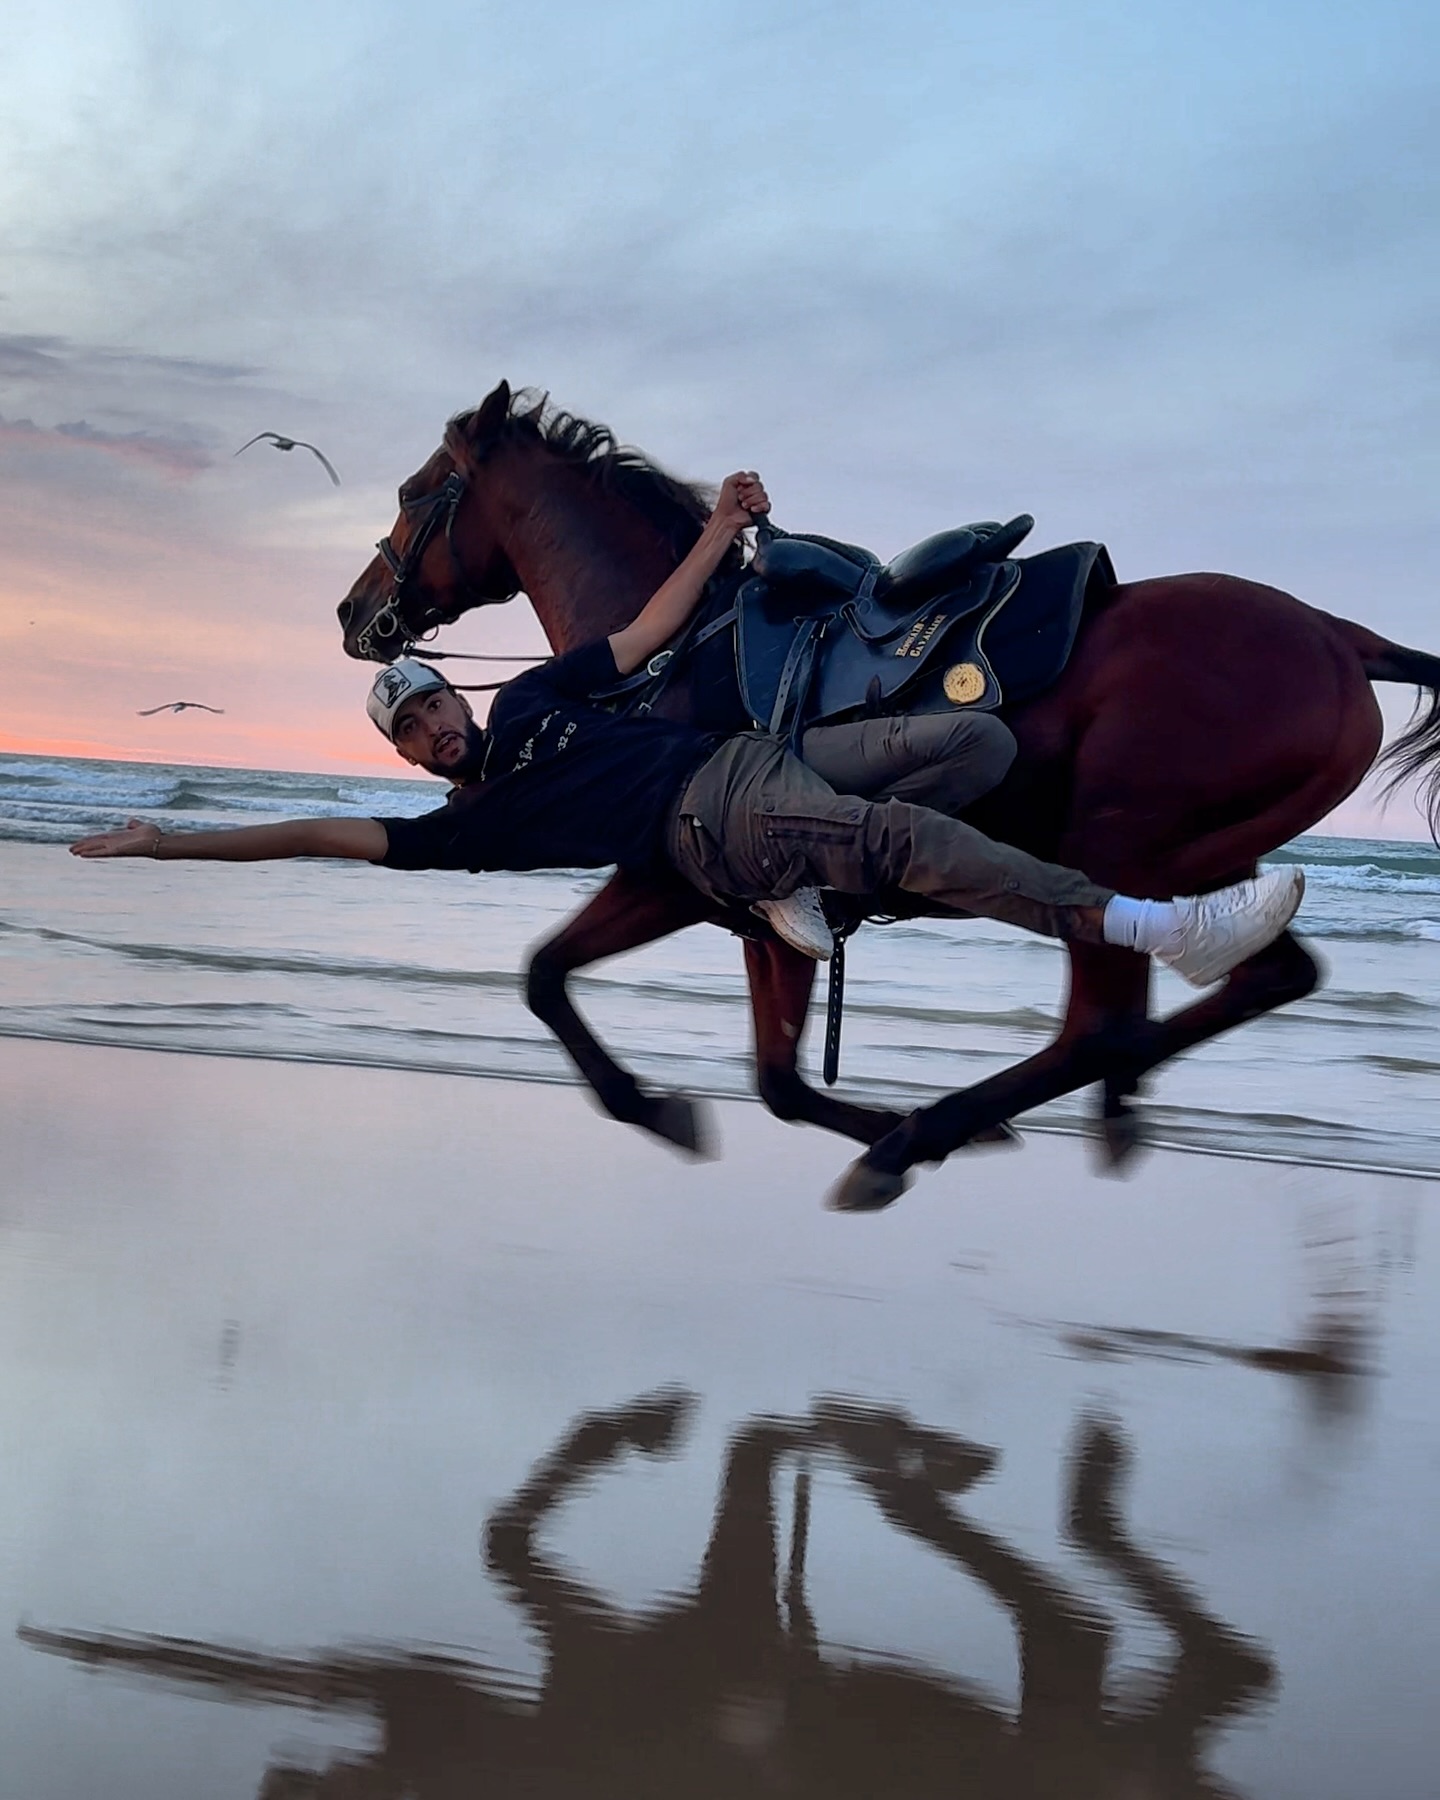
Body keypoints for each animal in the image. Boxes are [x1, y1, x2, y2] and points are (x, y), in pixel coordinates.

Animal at [338, 381, 1440, 1210]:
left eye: (415, 490)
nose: (356, 611)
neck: (673, 648)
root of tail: (1340, 638)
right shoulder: (753, 915)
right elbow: (777, 1080)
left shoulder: (666, 874)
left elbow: (546, 979)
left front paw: (658, 1107)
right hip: (1203, 859)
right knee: (1260, 975)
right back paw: (1074, 1111)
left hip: (1118, 844)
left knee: (1101, 1025)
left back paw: (930, 1135)